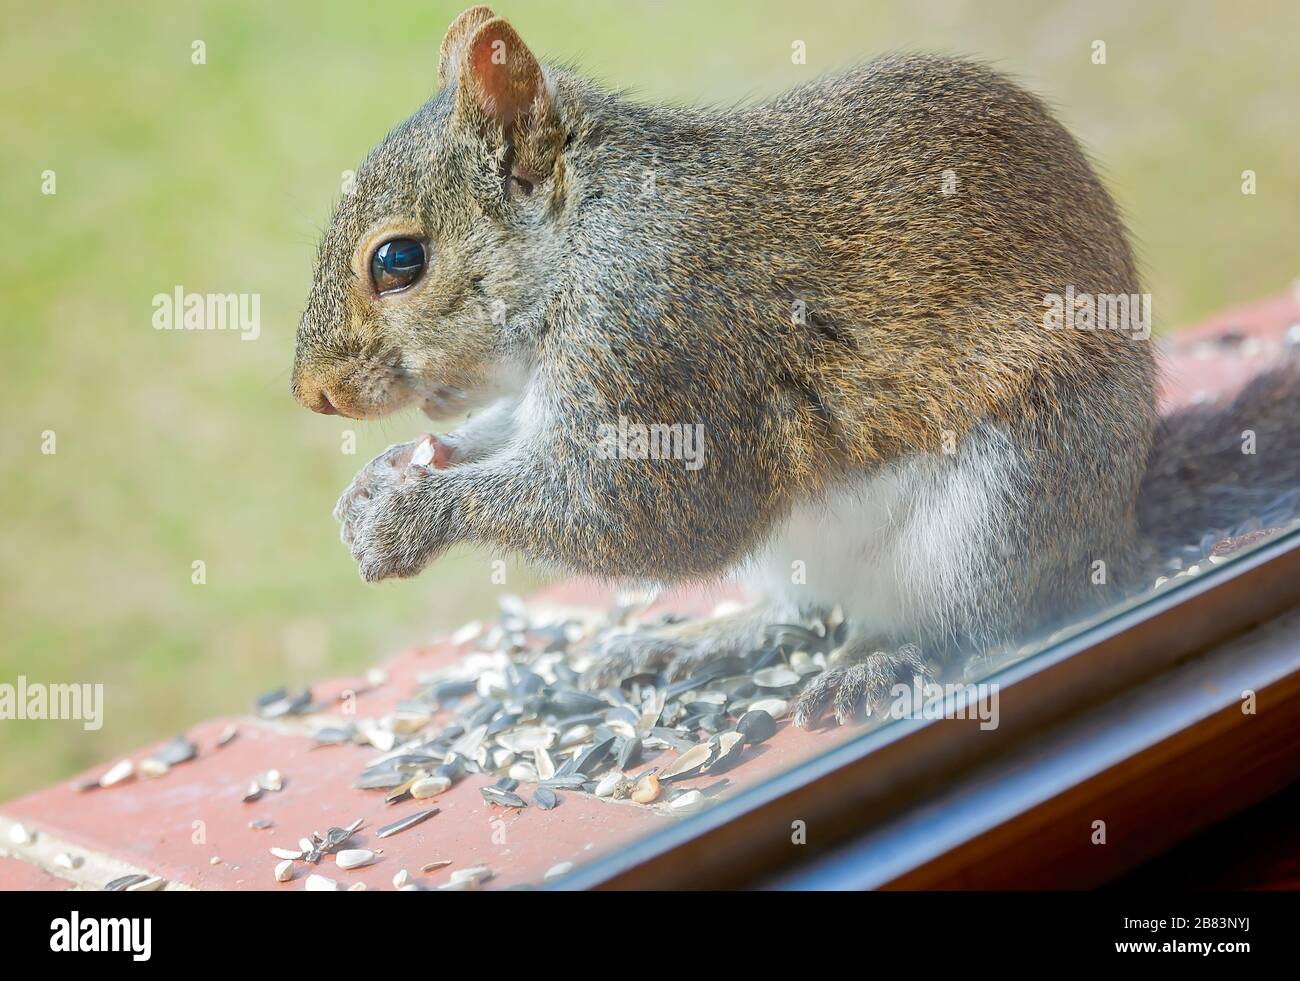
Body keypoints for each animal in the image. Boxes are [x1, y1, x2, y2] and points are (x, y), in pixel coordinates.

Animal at [292, 5, 1300, 727]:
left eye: (399, 261)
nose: (314, 394)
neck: (580, 244)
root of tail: (1119, 518)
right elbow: (505, 436)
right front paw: (384, 481)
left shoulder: (664, 342)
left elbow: (646, 516)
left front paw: (414, 515)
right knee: (803, 611)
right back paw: (716, 637)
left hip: (1012, 497)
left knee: (994, 617)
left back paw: (896, 657)